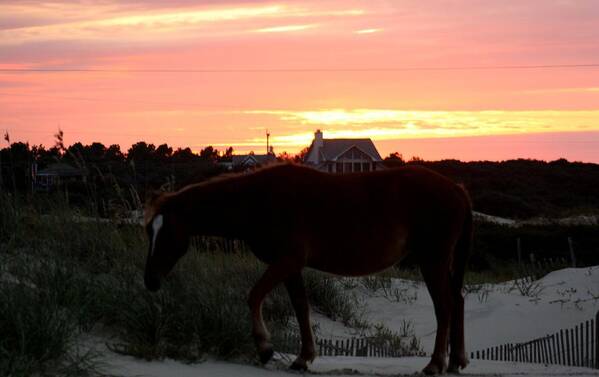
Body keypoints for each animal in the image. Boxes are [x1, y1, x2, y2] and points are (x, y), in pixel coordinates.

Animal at [144, 162, 474, 374]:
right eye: (149, 231)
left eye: (167, 234)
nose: (150, 281)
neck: (258, 200)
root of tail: (457, 189)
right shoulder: (291, 267)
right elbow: (301, 307)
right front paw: (303, 358)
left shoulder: (287, 260)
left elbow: (254, 296)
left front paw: (264, 347)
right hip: (439, 263)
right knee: (457, 301)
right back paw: (455, 360)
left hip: (432, 260)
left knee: (444, 306)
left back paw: (435, 364)